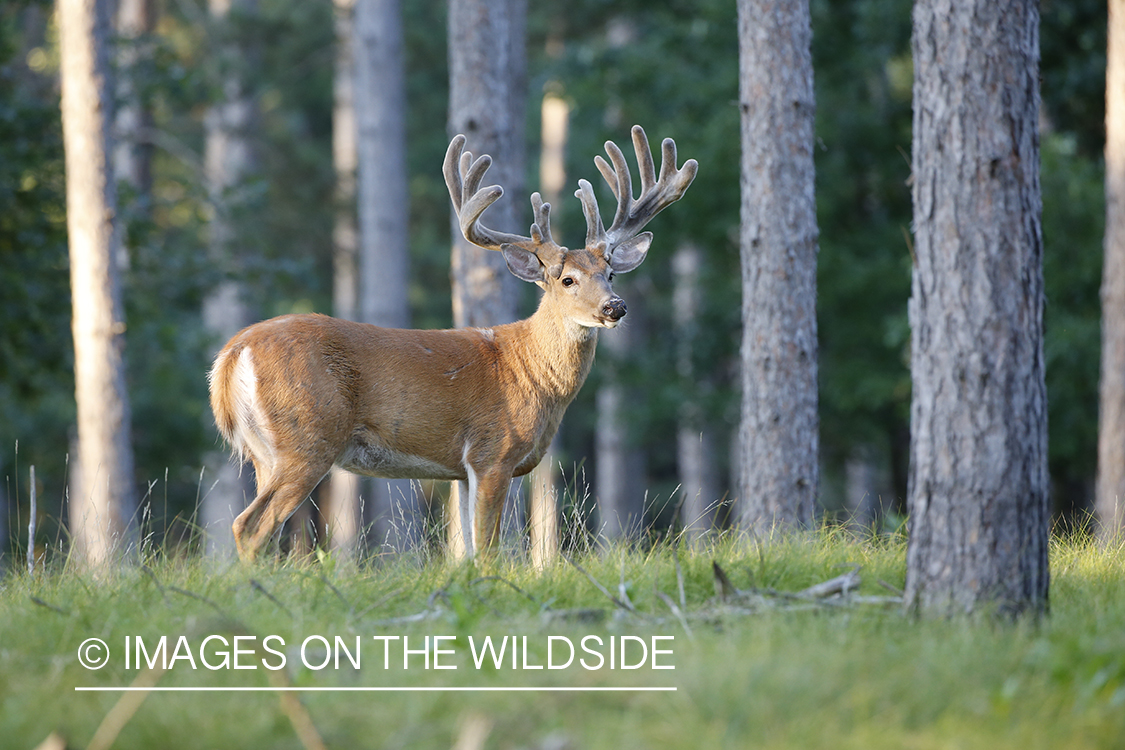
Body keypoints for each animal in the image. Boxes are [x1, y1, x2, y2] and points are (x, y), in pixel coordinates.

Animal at [205, 123, 688, 559]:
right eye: (567, 279)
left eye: (609, 274)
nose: (614, 307)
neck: (533, 374)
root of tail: (233, 352)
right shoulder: (492, 450)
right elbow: (488, 548)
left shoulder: (461, 470)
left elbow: (468, 548)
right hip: (307, 434)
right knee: (250, 525)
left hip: (264, 451)